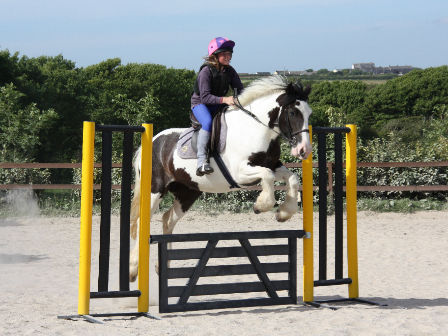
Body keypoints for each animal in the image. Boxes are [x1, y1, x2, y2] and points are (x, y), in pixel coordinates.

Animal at [129, 76, 312, 280]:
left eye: (309, 114)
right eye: (293, 112)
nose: (304, 150)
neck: (254, 129)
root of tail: (154, 140)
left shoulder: (273, 165)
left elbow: (292, 178)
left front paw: (283, 213)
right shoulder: (240, 172)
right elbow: (268, 176)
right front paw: (261, 205)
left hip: (187, 193)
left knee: (168, 219)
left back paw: (163, 267)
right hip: (155, 189)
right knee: (140, 222)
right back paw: (134, 268)